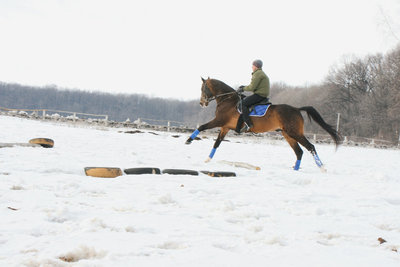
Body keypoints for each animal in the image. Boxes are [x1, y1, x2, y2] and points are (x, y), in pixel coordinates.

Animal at [187, 77, 340, 172]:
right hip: (288, 135)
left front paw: (188, 140)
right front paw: (207, 160)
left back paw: (322, 167)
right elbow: (217, 143)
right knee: (299, 152)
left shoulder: (219, 121)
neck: (228, 100)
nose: (201, 103)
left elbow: (201, 127)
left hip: (294, 133)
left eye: (203, 88)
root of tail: (297, 109)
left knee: (310, 147)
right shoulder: (225, 127)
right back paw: (295, 169)